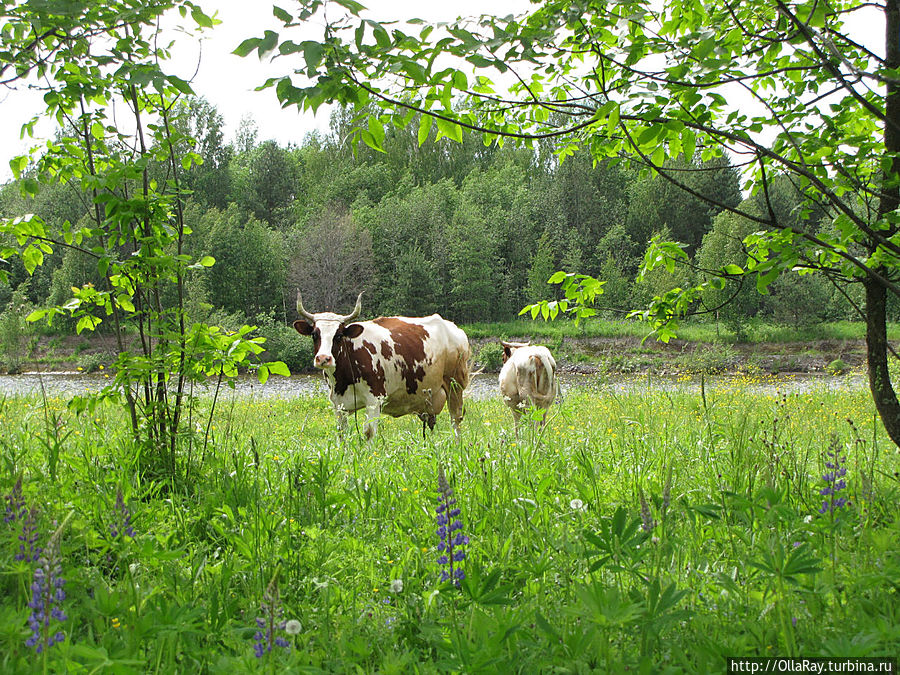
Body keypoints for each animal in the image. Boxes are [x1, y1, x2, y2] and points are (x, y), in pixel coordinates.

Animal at [292, 290, 472, 438]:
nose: (323, 358)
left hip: (455, 386)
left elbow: (369, 432)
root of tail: (454, 328)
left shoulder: (374, 400)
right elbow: (342, 433)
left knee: (455, 421)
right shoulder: (338, 404)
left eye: (338, 335)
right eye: (314, 334)